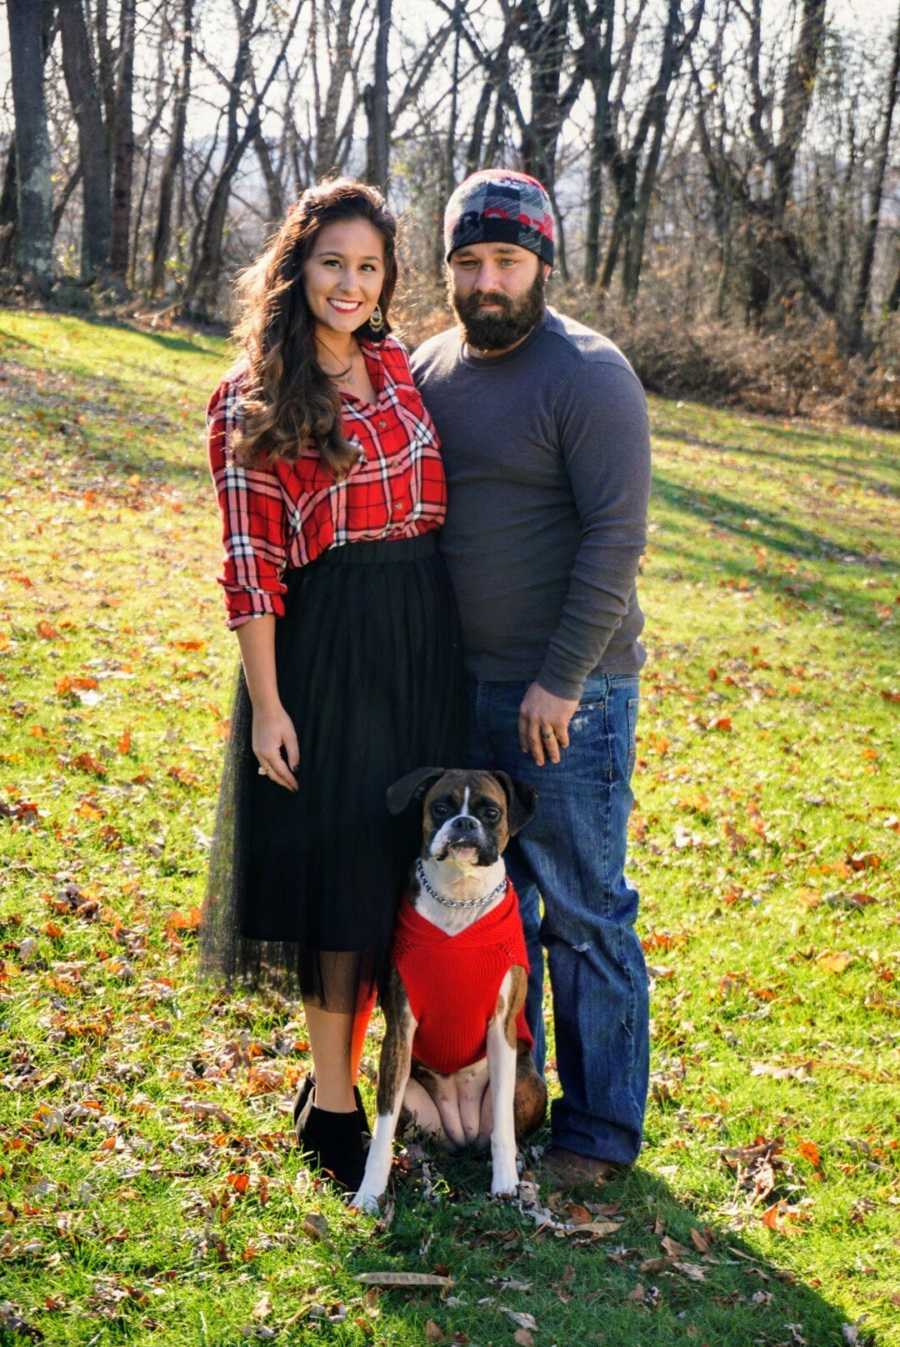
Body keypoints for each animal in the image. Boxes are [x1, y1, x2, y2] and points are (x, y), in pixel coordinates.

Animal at [350, 765, 549, 1217]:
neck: (460, 895)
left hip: (530, 1081)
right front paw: (370, 1192)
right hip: (413, 1097)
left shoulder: (501, 1029)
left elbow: (503, 1129)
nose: (464, 823)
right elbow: (383, 1128)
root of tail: (462, 1131)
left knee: (502, 1128)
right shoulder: (400, 1033)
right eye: (440, 807)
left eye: (491, 812)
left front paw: (505, 1182)